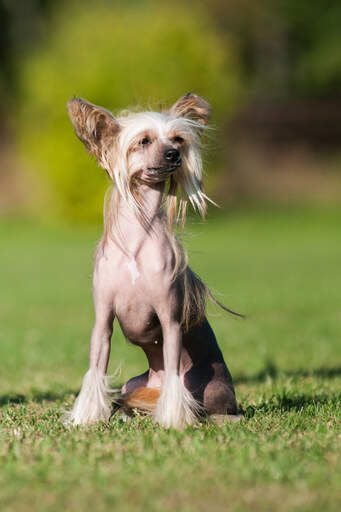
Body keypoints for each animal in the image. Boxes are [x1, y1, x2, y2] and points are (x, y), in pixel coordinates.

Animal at [65, 92, 240, 428]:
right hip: (134, 383)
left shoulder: (169, 320)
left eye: (178, 139)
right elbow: (96, 371)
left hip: (210, 387)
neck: (137, 241)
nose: (174, 154)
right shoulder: (103, 321)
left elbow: (173, 374)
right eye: (144, 141)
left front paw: (174, 421)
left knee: (215, 408)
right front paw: (87, 418)